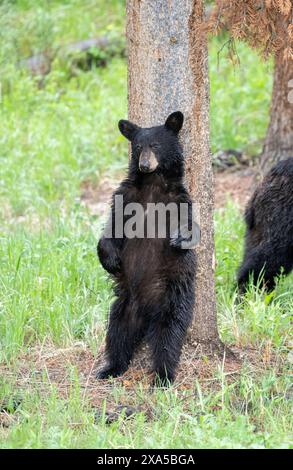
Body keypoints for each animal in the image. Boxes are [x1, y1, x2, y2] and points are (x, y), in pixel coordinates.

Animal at [96, 111, 196, 386]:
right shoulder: (126, 196)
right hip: (124, 305)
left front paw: (179, 239)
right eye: (139, 147)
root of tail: (146, 309)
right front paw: (110, 259)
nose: (144, 165)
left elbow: (191, 226)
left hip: (172, 299)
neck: (152, 184)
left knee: (168, 337)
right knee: (117, 333)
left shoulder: (180, 200)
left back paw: (162, 376)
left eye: (157, 145)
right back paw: (111, 368)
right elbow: (112, 227)